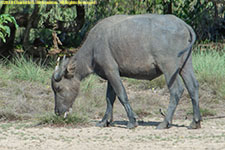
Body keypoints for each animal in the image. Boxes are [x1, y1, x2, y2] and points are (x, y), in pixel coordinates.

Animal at [51, 13, 202, 129]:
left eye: (58, 88)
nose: (57, 112)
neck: (93, 47)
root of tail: (183, 25)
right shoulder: (109, 75)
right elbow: (109, 98)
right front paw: (104, 121)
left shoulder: (112, 71)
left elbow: (121, 94)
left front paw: (132, 121)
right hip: (185, 66)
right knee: (193, 86)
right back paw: (195, 122)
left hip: (169, 68)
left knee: (176, 90)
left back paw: (164, 123)